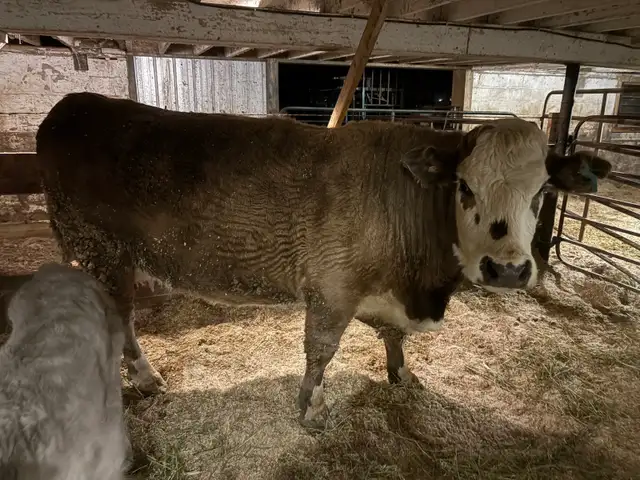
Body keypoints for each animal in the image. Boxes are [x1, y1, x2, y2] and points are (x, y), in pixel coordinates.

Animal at [35, 92, 612, 429]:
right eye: (465, 188)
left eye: (542, 193)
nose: (507, 269)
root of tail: (74, 104)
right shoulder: (332, 288)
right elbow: (321, 351)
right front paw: (310, 407)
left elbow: (392, 337)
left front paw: (402, 375)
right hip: (101, 251)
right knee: (121, 322)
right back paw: (145, 378)